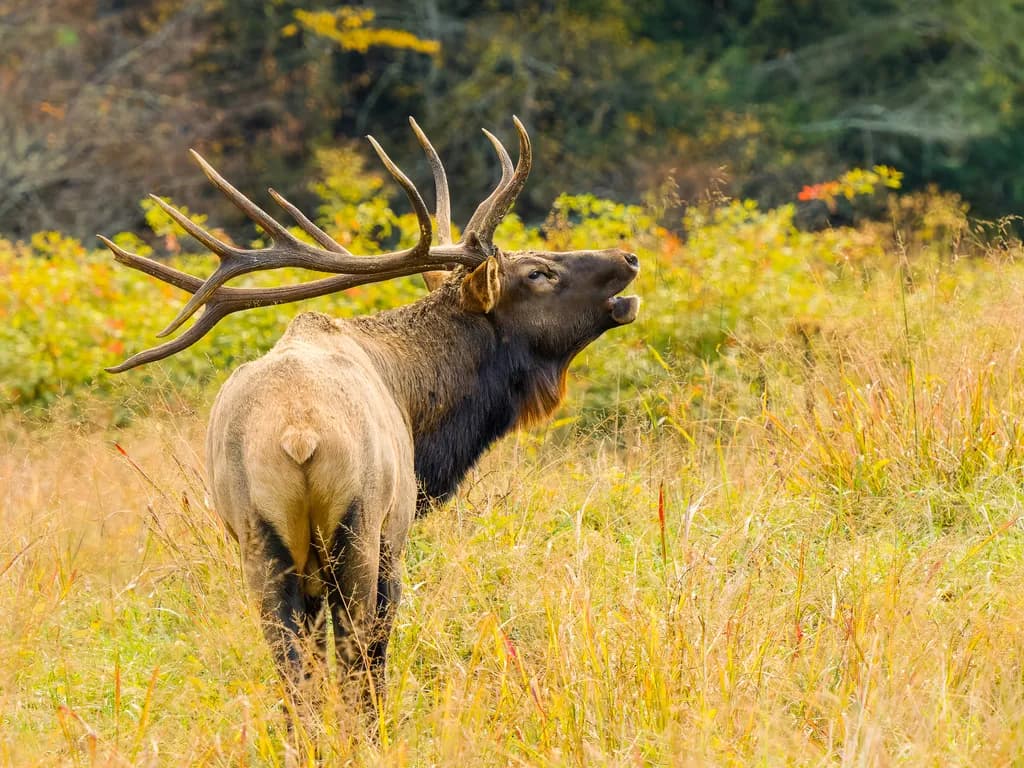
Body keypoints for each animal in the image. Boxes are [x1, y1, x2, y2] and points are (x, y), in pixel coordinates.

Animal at [100, 117, 640, 731]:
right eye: (538, 272)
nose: (628, 258)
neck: (418, 412)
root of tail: (299, 434)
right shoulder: (397, 531)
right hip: (359, 530)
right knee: (359, 654)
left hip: (259, 544)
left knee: (294, 669)